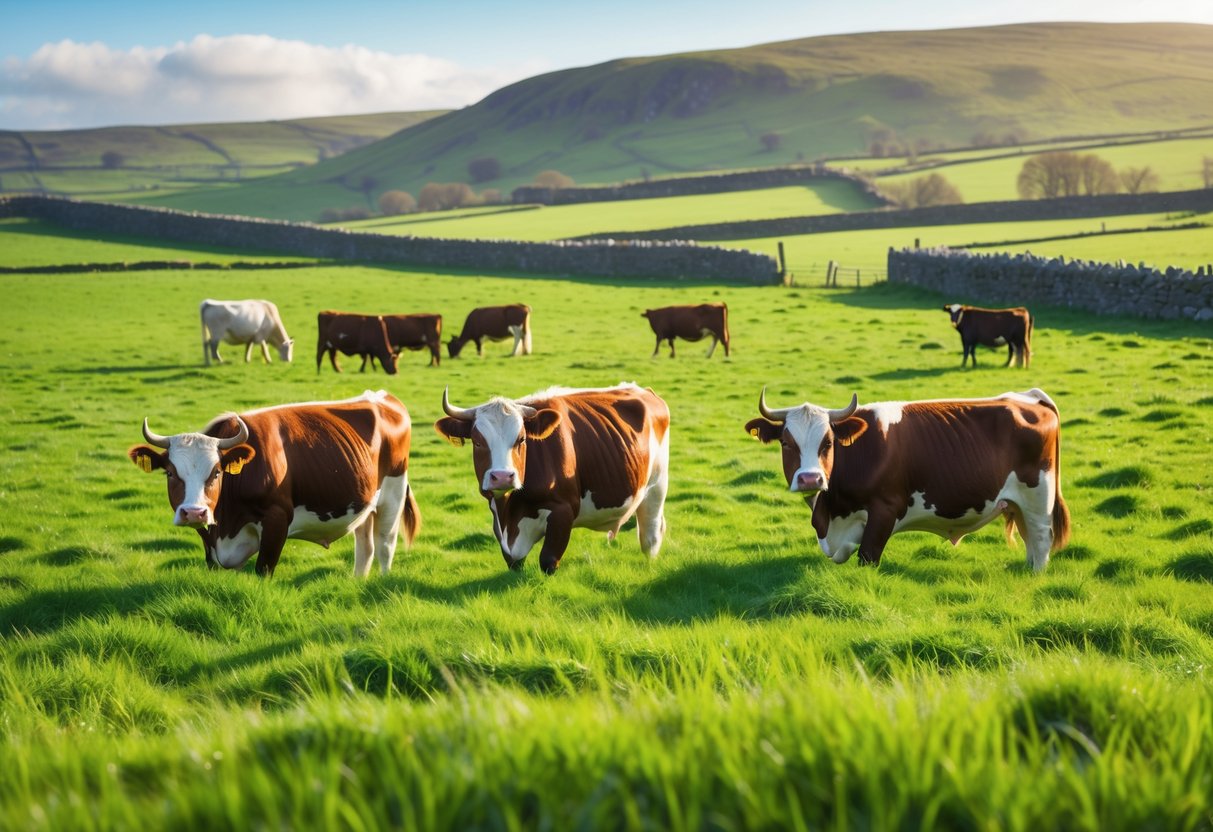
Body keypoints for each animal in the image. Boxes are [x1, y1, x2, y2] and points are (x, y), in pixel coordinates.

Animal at [128, 390, 420, 577]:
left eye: (217, 472)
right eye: (170, 473)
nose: (194, 512)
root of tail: (381, 396)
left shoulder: (277, 520)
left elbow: (263, 570)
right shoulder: (210, 537)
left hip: (393, 494)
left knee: (384, 545)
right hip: (364, 503)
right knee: (365, 547)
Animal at [435, 383, 670, 574]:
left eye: (521, 439)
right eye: (477, 442)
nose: (502, 477)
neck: (511, 509)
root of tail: (642, 390)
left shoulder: (563, 511)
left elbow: (548, 561)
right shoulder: (498, 518)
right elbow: (513, 562)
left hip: (656, 486)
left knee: (650, 536)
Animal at [744, 387, 1070, 572]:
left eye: (828, 443)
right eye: (786, 443)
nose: (811, 479)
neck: (831, 513)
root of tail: (1029, 397)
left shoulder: (885, 511)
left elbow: (867, 558)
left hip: (1039, 497)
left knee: (1041, 539)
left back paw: (1035, 576)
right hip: (1019, 504)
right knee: (1030, 540)